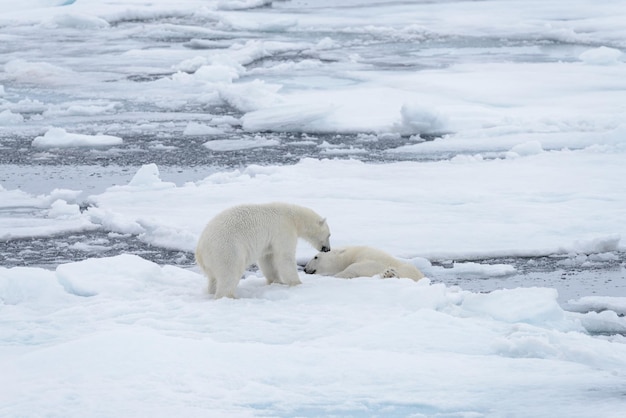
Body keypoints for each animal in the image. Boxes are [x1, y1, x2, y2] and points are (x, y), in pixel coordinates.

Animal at [195, 202, 332, 298]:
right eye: (329, 235)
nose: (328, 249)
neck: (292, 217)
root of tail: (200, 250)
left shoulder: (269, 243)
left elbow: (267, 259)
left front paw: (277, 282)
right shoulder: (283, 230)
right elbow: (285, 256)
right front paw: (297, 283)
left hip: (212, 260)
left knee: (213, 278)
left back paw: (212, 291)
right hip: (227, 248)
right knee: (229, 272)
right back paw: (230, 296)